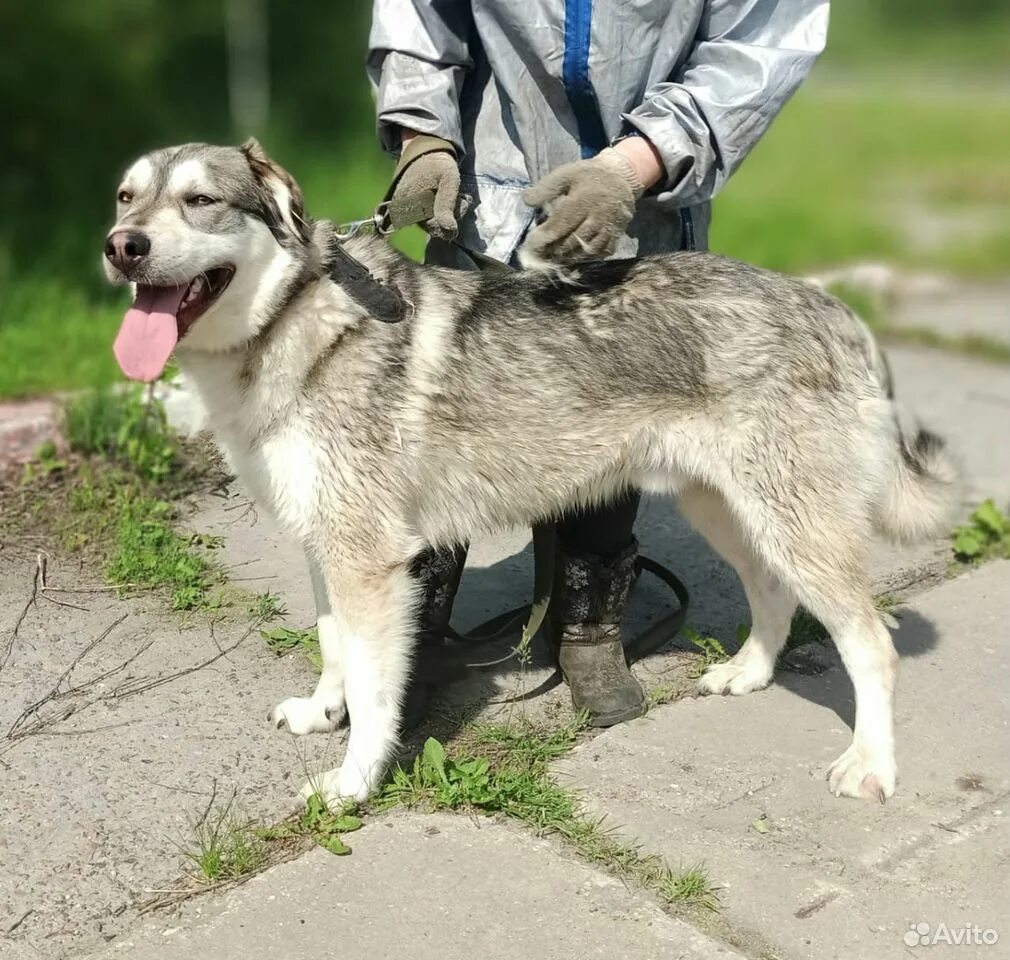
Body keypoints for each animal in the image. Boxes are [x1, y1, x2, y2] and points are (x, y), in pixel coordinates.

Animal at [104, 140, 961, 804]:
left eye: (201, 200)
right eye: (125, 196)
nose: (121, 246)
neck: (293, 327)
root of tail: (830, 306)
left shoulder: (368, 562)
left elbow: (375, 694)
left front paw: (351, 784)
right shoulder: (324, 544)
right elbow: (333, 651)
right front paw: (322, 715)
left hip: (791, 523)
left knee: (871, 643)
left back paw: (870, 767)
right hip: (727, 509)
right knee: (773, 593)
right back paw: (748, 675)